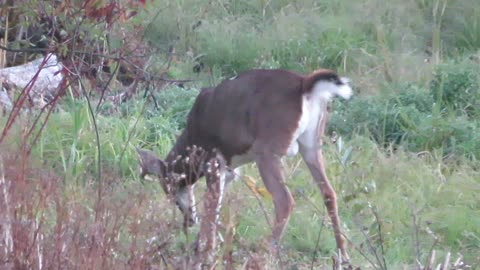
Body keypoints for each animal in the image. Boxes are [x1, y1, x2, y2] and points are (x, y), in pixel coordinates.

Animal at [136, 67, 352, 260]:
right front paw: (207, 245)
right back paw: (343, 255)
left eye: (168, 188)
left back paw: (267, 254)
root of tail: (304, 84)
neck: (192, 141)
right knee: (329, 193)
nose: (188, 221)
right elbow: (217, 206)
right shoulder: (230, 168)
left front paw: (206, 251)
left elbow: (211, 206)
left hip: (267, 150)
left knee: (284, 200)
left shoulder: (213, 159)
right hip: (312, 144)